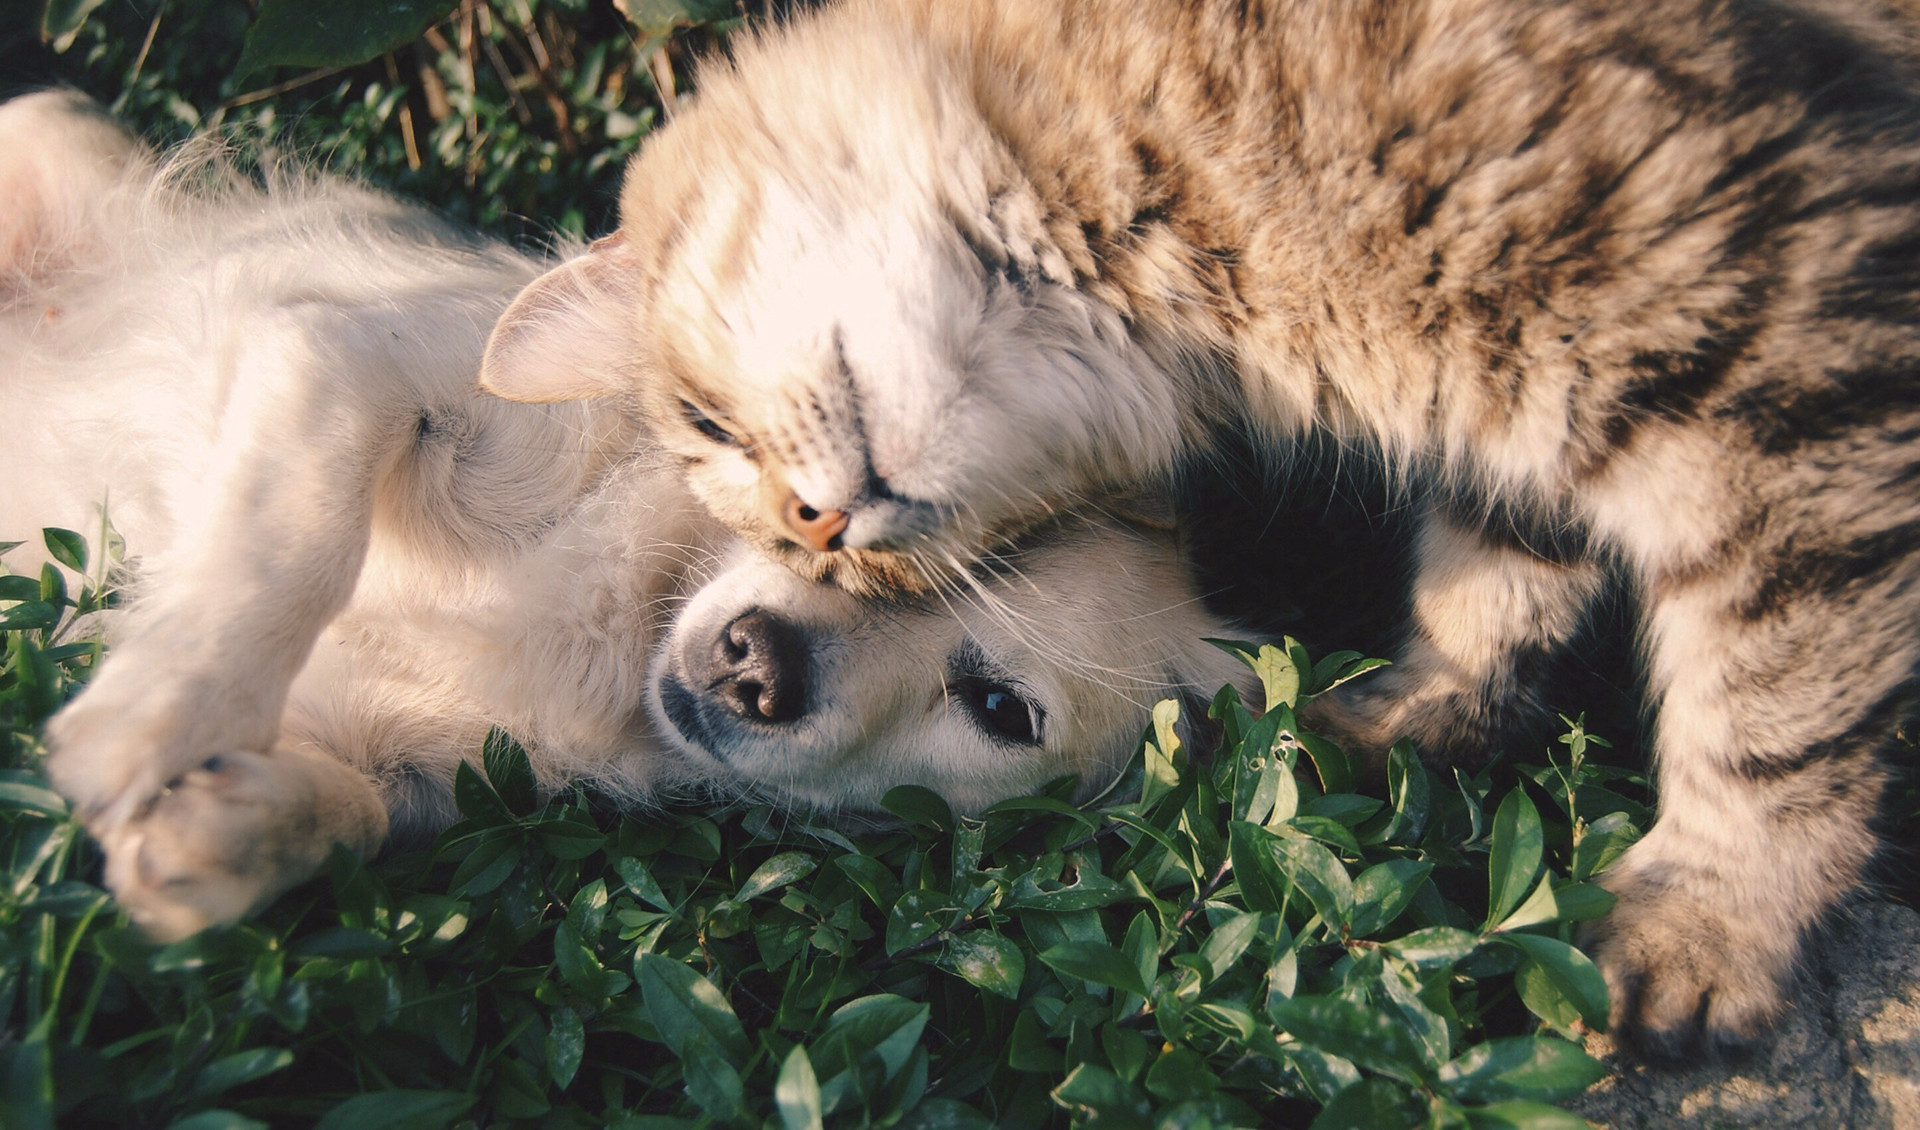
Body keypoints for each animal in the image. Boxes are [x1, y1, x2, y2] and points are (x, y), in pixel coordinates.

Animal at [3, 94, 1259, 943]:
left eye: (999, 708)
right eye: (824, 515)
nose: (757, 664)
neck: (627, 617)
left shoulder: (411, 769)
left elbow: (348, 814)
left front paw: (216, 834)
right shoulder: (342, 356)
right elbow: (291, 541)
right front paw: (153, 714)